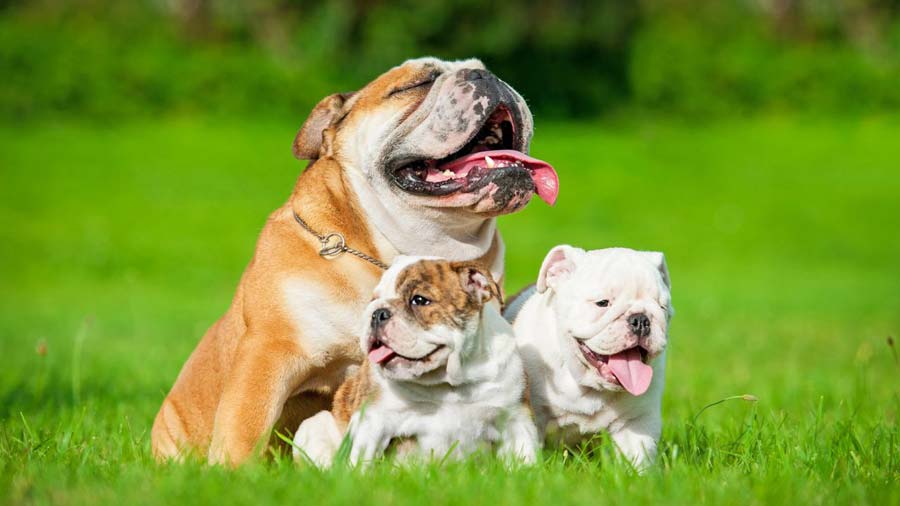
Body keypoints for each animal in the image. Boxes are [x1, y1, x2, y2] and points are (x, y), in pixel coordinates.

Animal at [292, 258, 536, 468]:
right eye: (373, 299)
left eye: (419, 300)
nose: (378, 313)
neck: (449, 383)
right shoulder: (373, 422)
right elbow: (362, 461)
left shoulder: (516, 421)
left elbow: (525, 458)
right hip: (313, 425)